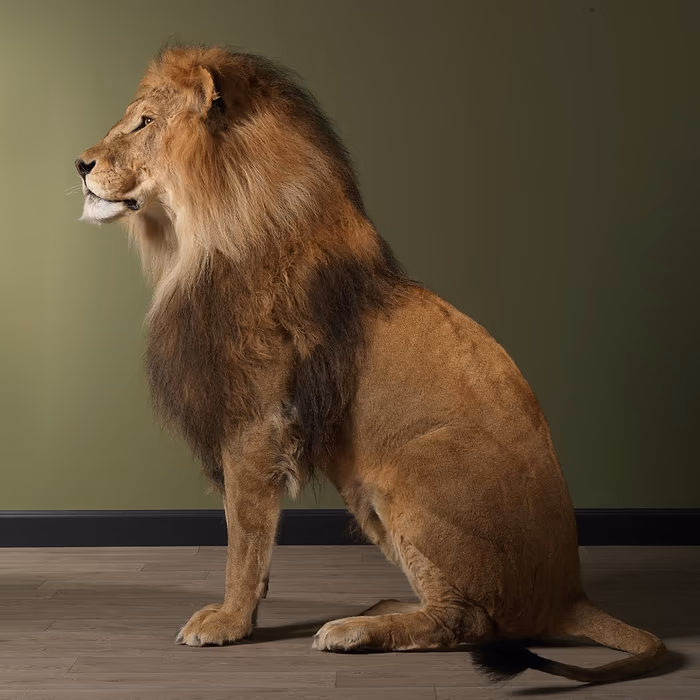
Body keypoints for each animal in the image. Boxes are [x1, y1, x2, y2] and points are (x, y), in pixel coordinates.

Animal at [76, 45, 667, 684]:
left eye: (143, 122)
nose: (79, 164)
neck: (197, 239)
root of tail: (569, 594)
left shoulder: (257, 421)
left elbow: (245, 534)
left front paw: (229, 621)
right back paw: (384, 606)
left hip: (407, 468)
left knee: (469, 622)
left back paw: (356, 631)